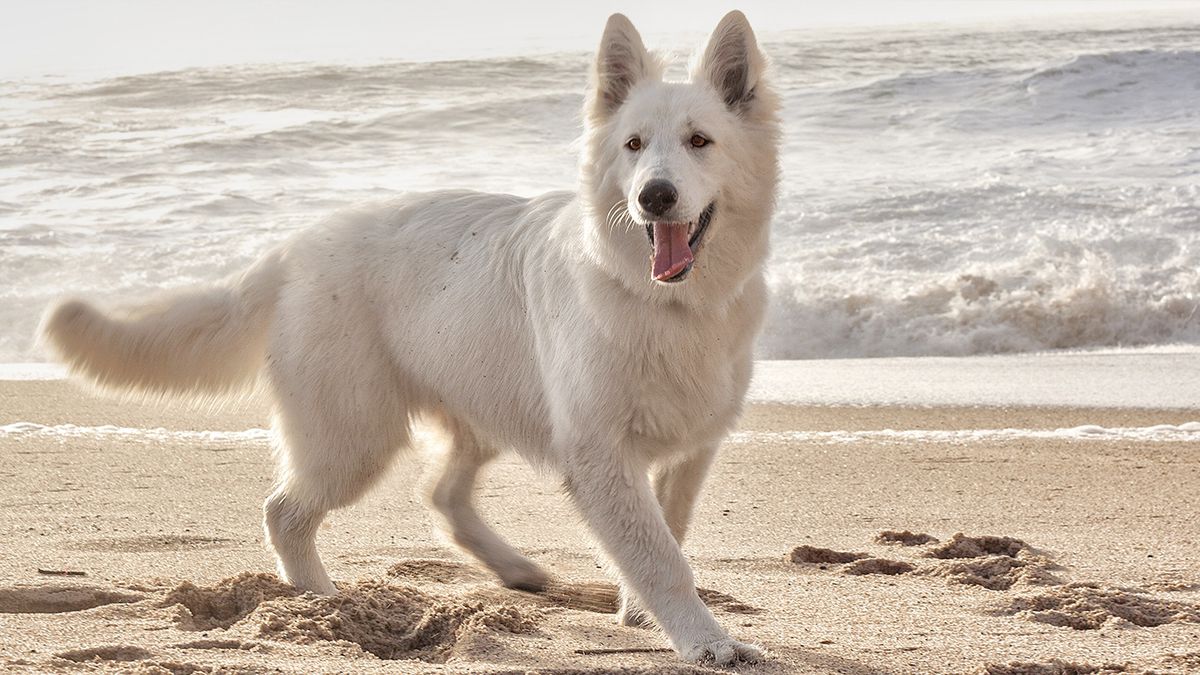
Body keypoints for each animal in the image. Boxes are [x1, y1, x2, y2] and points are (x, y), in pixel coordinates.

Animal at [39, 10, 777, 662]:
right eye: (633, 146)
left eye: (699, 141)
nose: (654, 197)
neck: (664, 302)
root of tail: (293, 249)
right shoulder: (601, 456)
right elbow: (660, 557)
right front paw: (703, 640)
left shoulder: (685, 453)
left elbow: (666, 536)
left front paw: (640, 613)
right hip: (355, 436)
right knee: (286, 511)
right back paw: (321, 600)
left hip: (472, 404)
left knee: (441, 495)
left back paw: (513, 570)